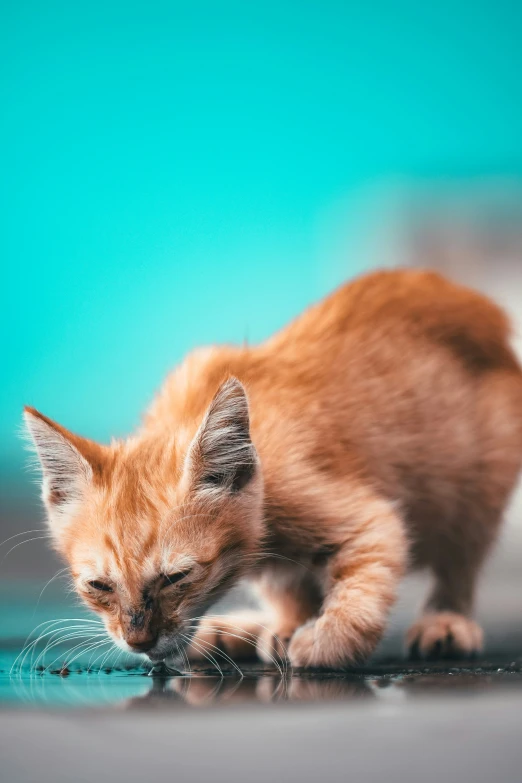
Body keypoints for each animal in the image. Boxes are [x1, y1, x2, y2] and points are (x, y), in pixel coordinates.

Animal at [23, 270, 520, 668]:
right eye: (99, 585)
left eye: (177, 578)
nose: (138, 641)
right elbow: (287, 584)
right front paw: (285, 625)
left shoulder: (360, 515)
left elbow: (366, 574)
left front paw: (323, 641)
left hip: (476, 488)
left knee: (460, 558)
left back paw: (446, 620)